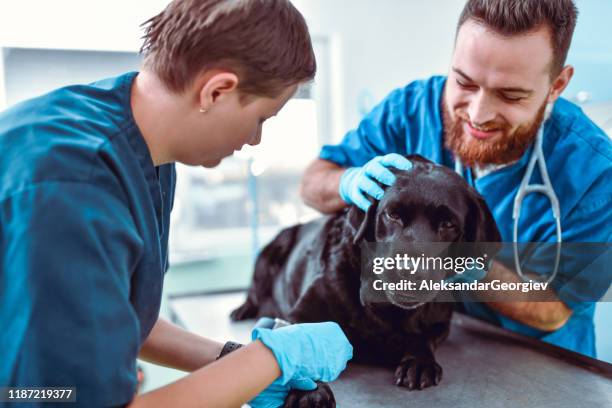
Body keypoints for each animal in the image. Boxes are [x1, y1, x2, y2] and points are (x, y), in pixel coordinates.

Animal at [232, 155, 500, 406]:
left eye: (448, 224)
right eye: (392, 214)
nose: (409, 270)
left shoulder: (440, 322)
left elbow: (424, 336)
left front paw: (419, 361)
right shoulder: (297, 315)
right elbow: (298, 340)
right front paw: (309, 391)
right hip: (271, 252)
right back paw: (242, 309)